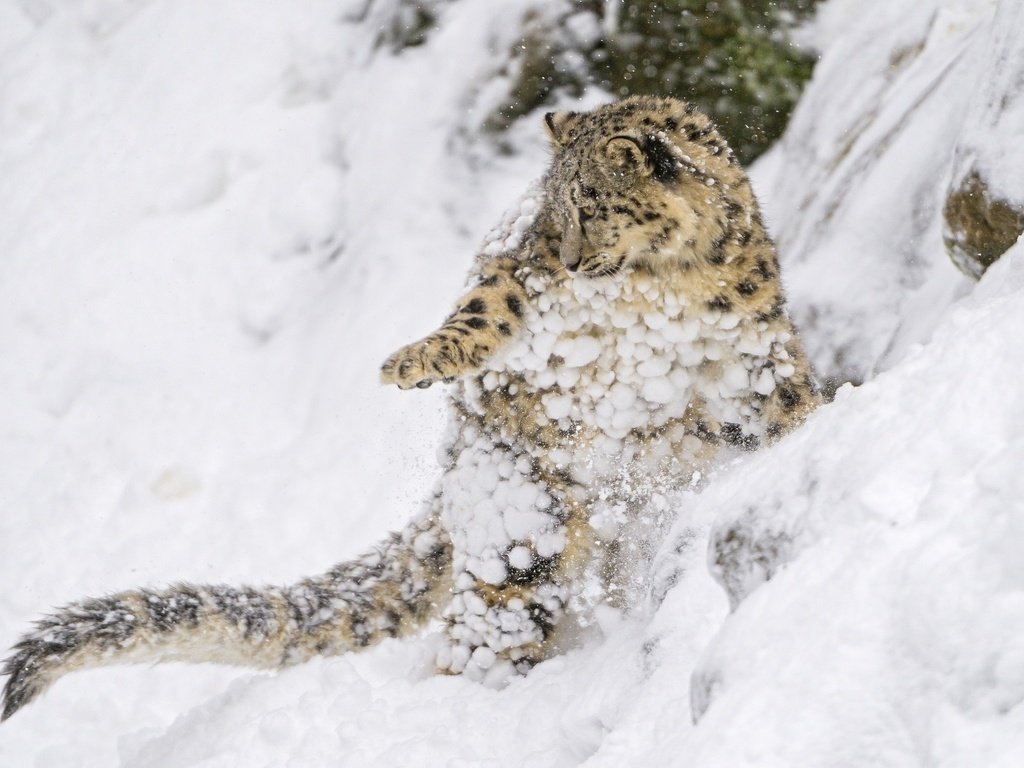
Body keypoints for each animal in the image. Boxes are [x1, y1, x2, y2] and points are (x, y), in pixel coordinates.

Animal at [0, 96, 815, 720]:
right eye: (553, 211)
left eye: (592, 204)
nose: (569, 258)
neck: (661, 288)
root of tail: (455, 475)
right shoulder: (518, 274)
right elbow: (483, 307)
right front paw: (413, 363)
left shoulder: (751, 354)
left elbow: (786, 404)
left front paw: (814, 431)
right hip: (521, 529)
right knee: (487, 630)